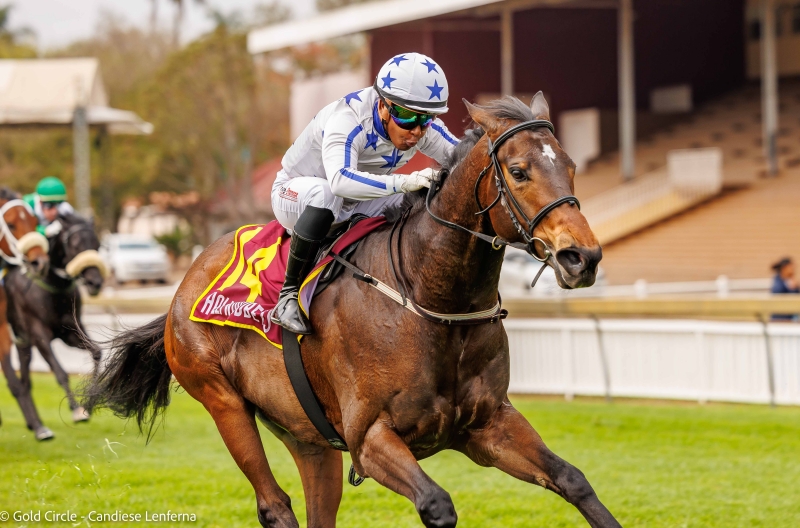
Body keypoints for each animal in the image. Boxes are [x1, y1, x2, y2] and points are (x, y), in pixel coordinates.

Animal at [4, 211, 106, 424]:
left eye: (97, 244)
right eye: (75, 245)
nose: (95, 283)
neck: (53, 288)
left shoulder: (70, 332)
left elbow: (96, 352)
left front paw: (89, 403)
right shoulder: (38, 333)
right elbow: (60, 372)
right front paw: (75, 408)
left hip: (22, 343)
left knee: (24, 382)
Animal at [85, 94, 620, 528]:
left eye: (571, 165)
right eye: (519, 171)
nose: (582, 257)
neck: (429, 297)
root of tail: (184, 286)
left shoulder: (487, 424)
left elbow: (573, 480)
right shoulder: (369, 439)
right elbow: (437, 504)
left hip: (307, 435)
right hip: (223, 401)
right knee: (274, 504)